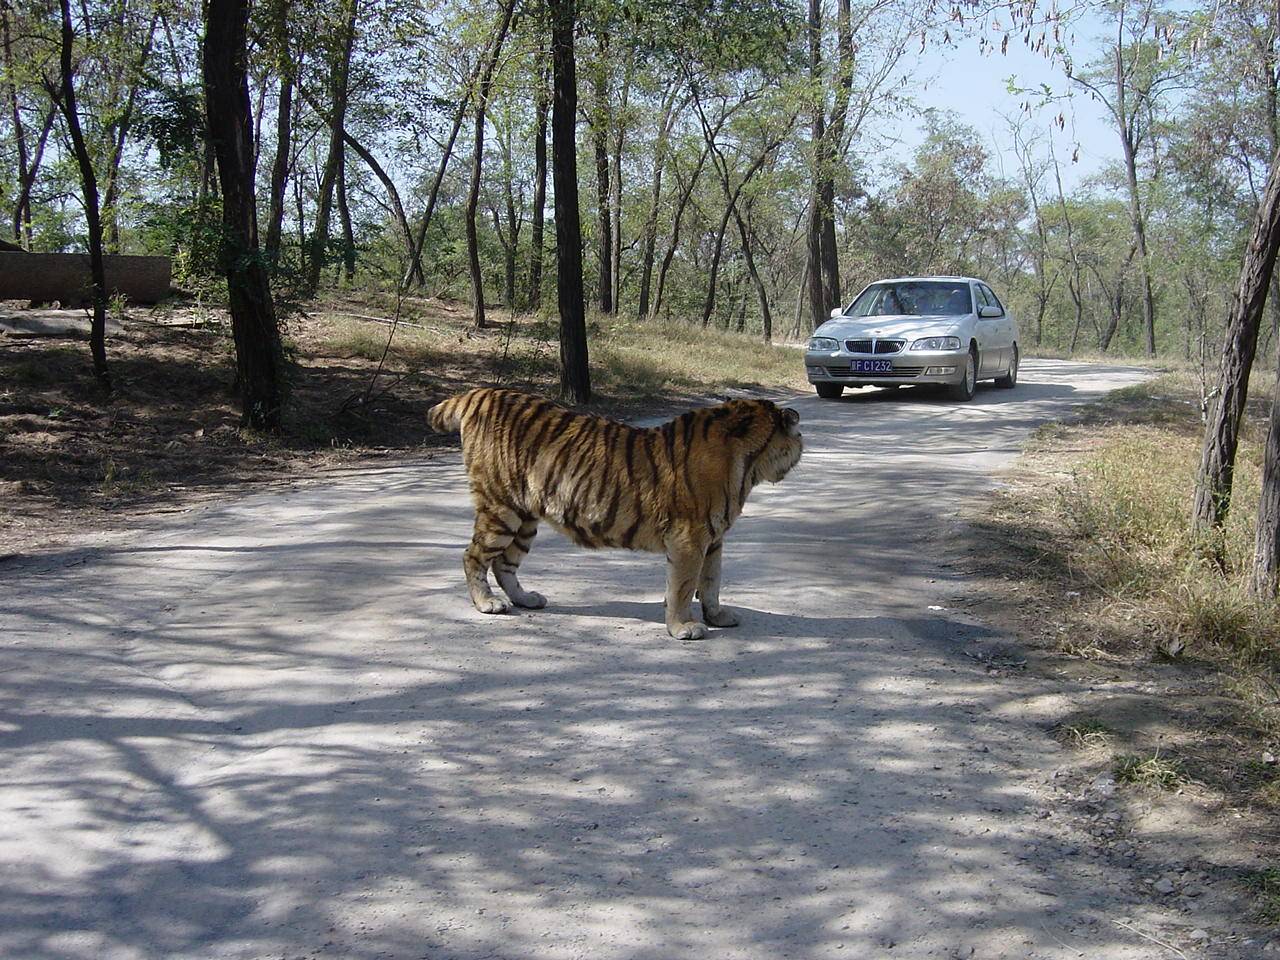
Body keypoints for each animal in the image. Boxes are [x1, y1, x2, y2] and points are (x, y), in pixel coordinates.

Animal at [427, 386, 798, 642]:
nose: (801, 448)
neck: (749, 464)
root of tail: (479, 393)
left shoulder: (714, 538)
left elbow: (712, 581)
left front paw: (717, 615)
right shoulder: (690, 539)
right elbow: (683, 585)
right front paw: (683, 627)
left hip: (525, 516)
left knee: (505, 563)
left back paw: (526, 599)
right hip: (501, 509)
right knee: (473, 556)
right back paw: (487, 603)